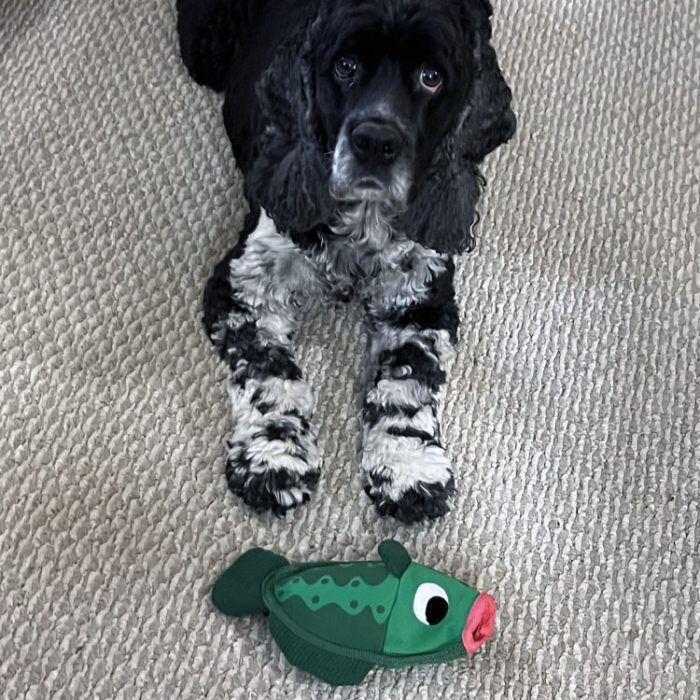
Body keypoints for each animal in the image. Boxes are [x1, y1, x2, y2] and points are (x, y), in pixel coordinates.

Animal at [175, 0, 516, 524]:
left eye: (431, 77)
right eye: (345, 66)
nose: (375, 141)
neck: (362, 225)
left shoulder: (422, 296)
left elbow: (408, 381)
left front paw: (409, 468)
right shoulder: (243, 286)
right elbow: (269, 373)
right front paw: (274, 458)